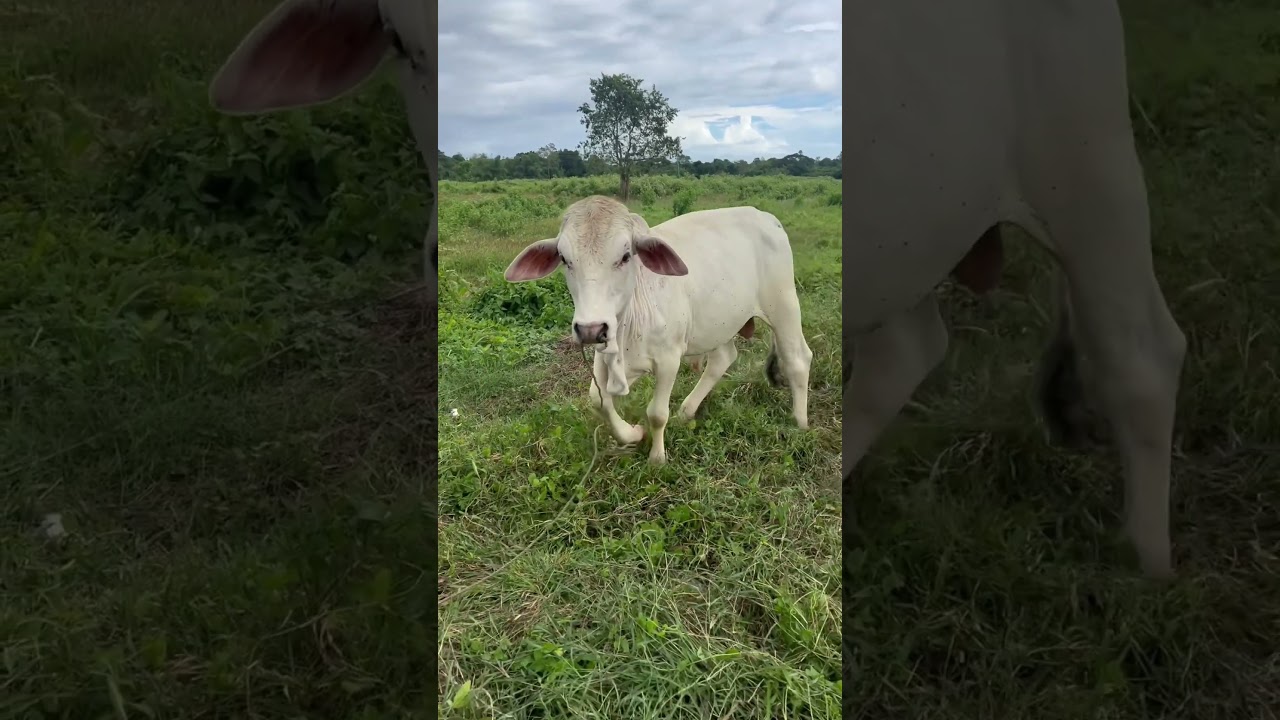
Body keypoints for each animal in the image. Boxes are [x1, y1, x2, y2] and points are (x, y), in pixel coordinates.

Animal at [504, 196, 814, 466]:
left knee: (798, 358)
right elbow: (599, 400)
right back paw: (687, 411)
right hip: (718, 323)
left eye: (625, 256)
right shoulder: (606, 355)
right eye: (565, 259)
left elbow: (656, 414)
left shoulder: (668, 360)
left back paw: (799, 422)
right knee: (723, 358)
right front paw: (631, 434)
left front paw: (657, 458)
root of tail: (766, 217)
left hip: (783, 306)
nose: (590, 328)